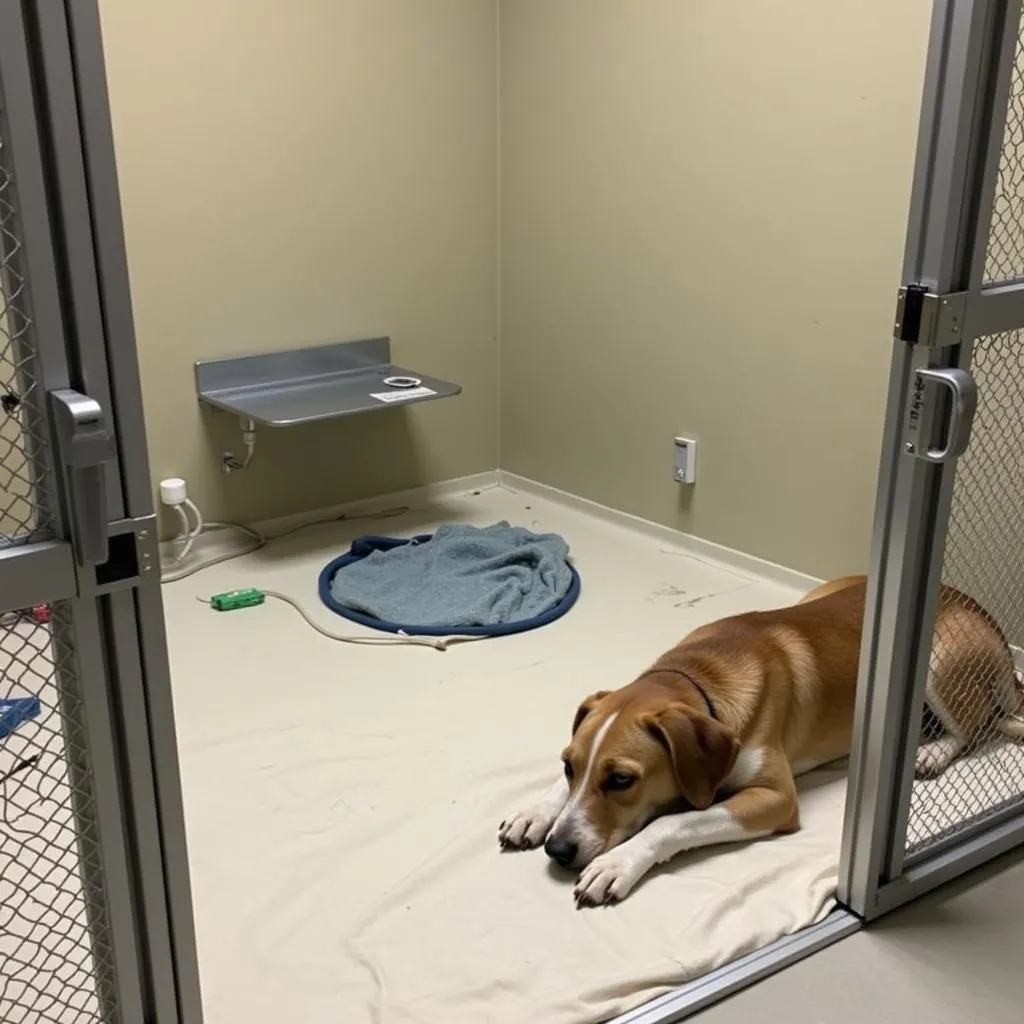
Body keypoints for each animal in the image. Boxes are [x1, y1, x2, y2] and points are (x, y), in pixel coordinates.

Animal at [497, 577, 1024, 905]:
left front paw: (619, 864)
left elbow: (676, 822)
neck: (700, 677)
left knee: (979, 724)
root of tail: (980, 609)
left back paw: (934, 749)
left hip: (940, 660)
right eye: (568, 765)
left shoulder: (775, 797)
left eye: (622, 780)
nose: (558, 850)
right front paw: (534, 812)